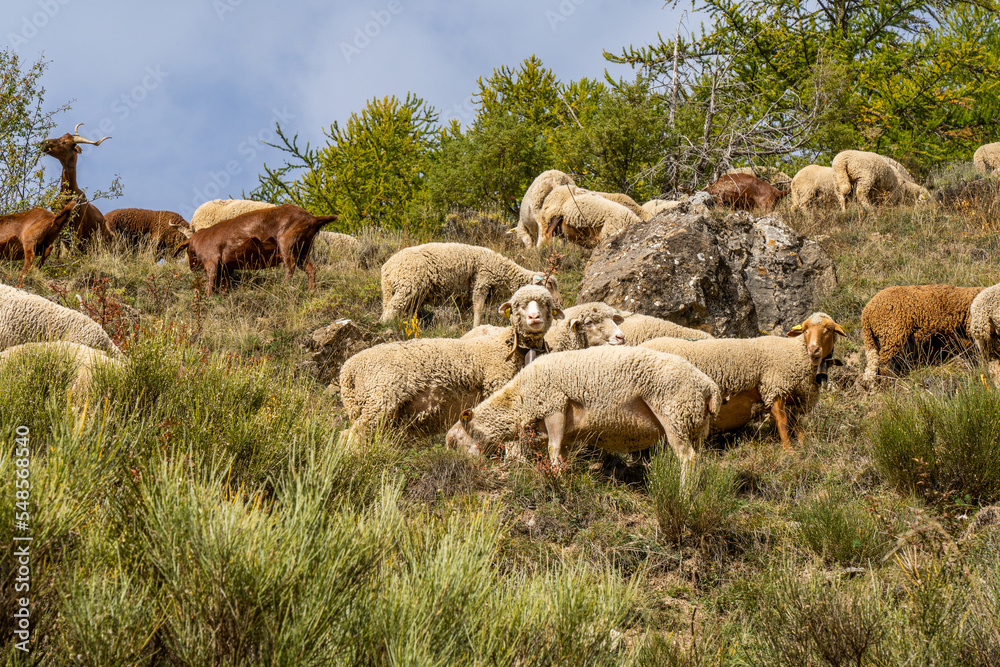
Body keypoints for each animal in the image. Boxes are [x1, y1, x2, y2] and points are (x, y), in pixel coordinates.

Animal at [340, 285, 563, 445]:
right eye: (517, 305)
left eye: (546, 304)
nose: (534, 318)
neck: (507, 346)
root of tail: (348, 370)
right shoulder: (497, 387)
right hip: (381, 399)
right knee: (353, 435)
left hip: (371, 408)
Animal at [379, 242, 560, 327]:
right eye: (549, 283)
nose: (559, 302)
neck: (504, 272)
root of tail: (386, 268)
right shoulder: (482, 282)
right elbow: (478, 309)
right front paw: (476, 326)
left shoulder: (464, 297)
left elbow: (464, 313)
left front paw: (462, 327)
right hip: (408, 285)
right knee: (392, 308)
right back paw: (385, 325)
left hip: (397, 291)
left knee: (391, 307)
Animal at [444, 345, 721, 475]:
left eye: (455, 441)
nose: (463, 468)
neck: (520, 400)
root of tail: (709, 387)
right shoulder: (567, 431)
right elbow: (561, 454)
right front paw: (562, 473)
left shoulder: (554, 405)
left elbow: (552, 449)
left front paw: (554, 476)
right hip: (695, 426)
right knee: (697, 459)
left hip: (675, 415)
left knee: (688, 459)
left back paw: (683, 496)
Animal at [641, 312, 847, 447]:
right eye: (804, 330)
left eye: (828, 330)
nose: (814, 350)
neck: (795, 353)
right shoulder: (773, 387)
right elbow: (782, 422)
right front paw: (789, 450)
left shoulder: (792, 397)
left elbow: (796, 424)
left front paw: (803, 446)